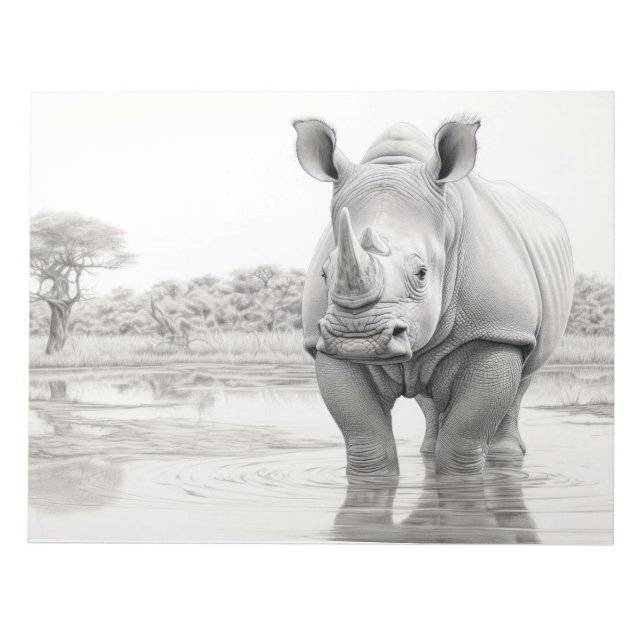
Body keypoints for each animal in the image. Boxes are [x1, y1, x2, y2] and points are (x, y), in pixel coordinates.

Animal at [294, 117, 574, 476]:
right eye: (325, 274)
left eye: (422, 273)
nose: (358, 338)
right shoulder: (324, 344)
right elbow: (366, 439)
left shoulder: (498, 330)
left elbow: (462, 442)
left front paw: (461, 483)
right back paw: (427, 451)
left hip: (521, 328)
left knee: (525, 376)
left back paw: (506, 458)